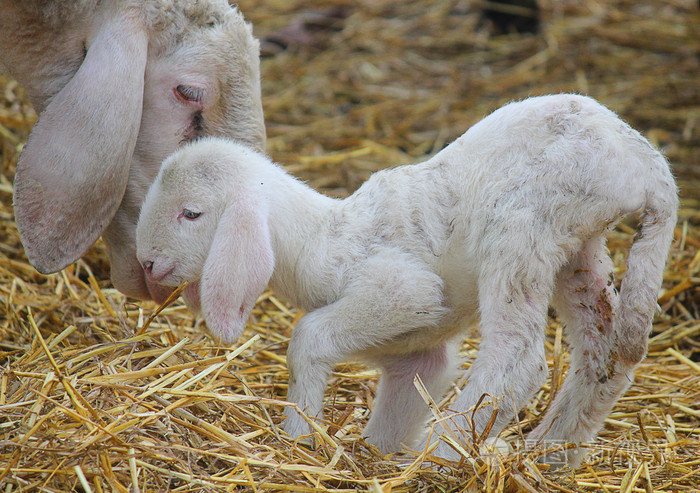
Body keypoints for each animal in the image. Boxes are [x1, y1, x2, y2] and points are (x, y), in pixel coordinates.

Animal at [134, 93, 676, 466]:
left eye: (191, 213)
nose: (148, 265)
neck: (324, 239)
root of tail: (645, 162)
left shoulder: (401, 291)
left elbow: (308, 336)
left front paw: (300, 437)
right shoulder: (417, 351)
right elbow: (407, 395)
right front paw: (375, 455)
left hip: (524, 229)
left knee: (518, 359)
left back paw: (442, 454)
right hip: (579, 247)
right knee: (606, 353)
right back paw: (550, 453)